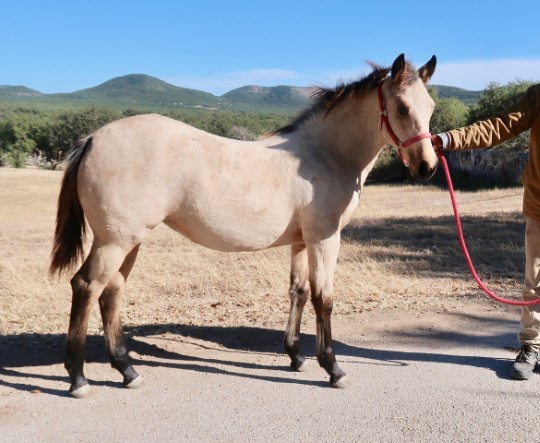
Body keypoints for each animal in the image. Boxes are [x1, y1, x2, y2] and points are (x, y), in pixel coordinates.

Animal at [50, 53, 438, 398]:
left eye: (431, 107)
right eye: (402, 107)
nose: (427, 166)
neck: (324, 153)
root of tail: (93, 139)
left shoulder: (301, 242)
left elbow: (298, 292)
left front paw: (295, 356)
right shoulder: (325, 239)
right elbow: (323, 298)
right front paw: (333, 368)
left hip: (129, 241)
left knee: (111, 292)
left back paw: (127, 370)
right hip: (114, 241)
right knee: (86, 287)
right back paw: (78, 379)